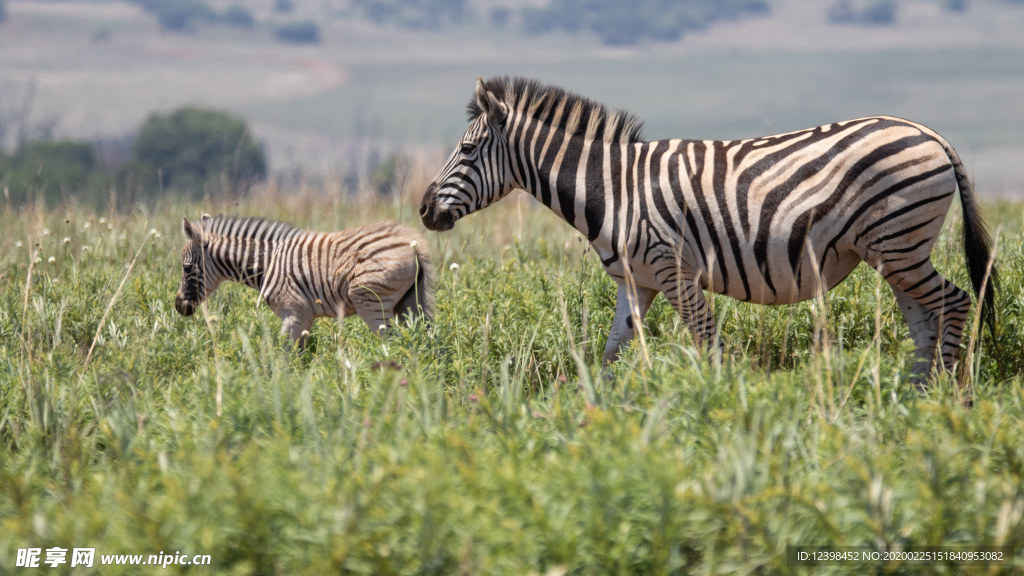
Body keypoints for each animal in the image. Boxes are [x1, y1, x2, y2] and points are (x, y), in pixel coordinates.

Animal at [176, 213, 432, 342]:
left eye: (187, 268)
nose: (179, 306)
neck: (267, 264)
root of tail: (414, 244)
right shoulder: (306, 317)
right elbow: (301, 357)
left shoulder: (294, 312)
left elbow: (283, 354)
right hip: (409, 303)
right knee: (418, 337)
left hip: (372, 302)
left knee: (392, 341)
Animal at [419, 77, 995, 381]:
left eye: (466, 150)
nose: (424, 210)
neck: (614, 190)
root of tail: (929, 132)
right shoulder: (636, 282)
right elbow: (611, 351)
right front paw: (595, 414)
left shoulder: (674, 270)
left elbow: (707, 344)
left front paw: (719, 408)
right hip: (893, 253)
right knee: (923, 322)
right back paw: (911, 402)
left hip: (900, 245)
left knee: (956, 302)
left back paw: (948, 397)